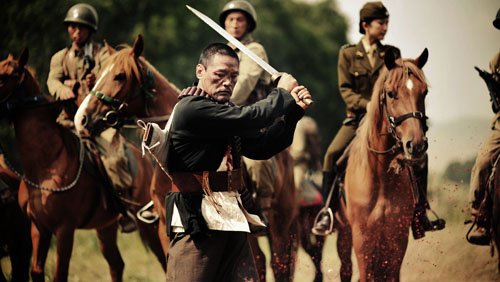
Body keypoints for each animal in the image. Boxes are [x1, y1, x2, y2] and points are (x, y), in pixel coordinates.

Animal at [0, 49, 164, 280]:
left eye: (7, 76)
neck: (45, 166)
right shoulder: (38, 228)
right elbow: (36, 271)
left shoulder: (64, 230)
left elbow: (60, 273)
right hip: (106, 227)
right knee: (116, 264)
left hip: (148, 225)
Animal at [344, 47, 430, 280]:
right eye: (391, 93)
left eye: (425, 92)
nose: (416, 144)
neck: (381, 177)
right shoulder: (362, 241)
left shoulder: (396, 239)